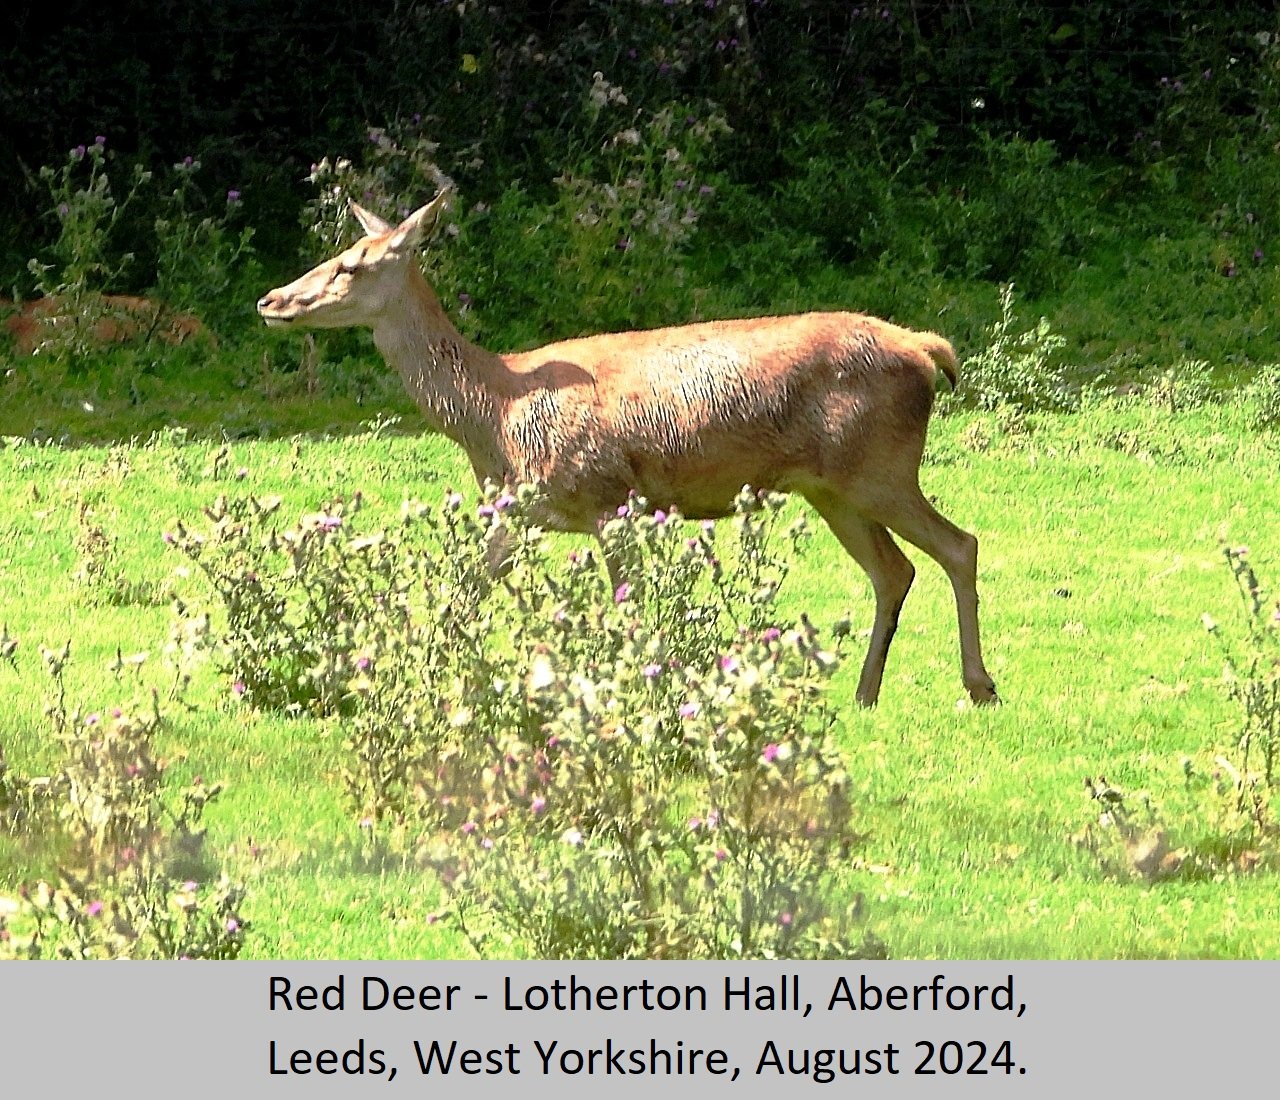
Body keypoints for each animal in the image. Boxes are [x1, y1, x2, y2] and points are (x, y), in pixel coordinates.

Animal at [257, 191, 997, 706]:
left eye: (350, 265)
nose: (271, 300)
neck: (496, 413)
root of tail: (929, 352)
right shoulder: (520, 508)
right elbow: (468, 589)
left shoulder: (609, 495)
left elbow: (623, 604)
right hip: (832, 487)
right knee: (893, 570)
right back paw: (866, 692)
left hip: (880, 468)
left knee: (959, 545)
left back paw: (978, 685)